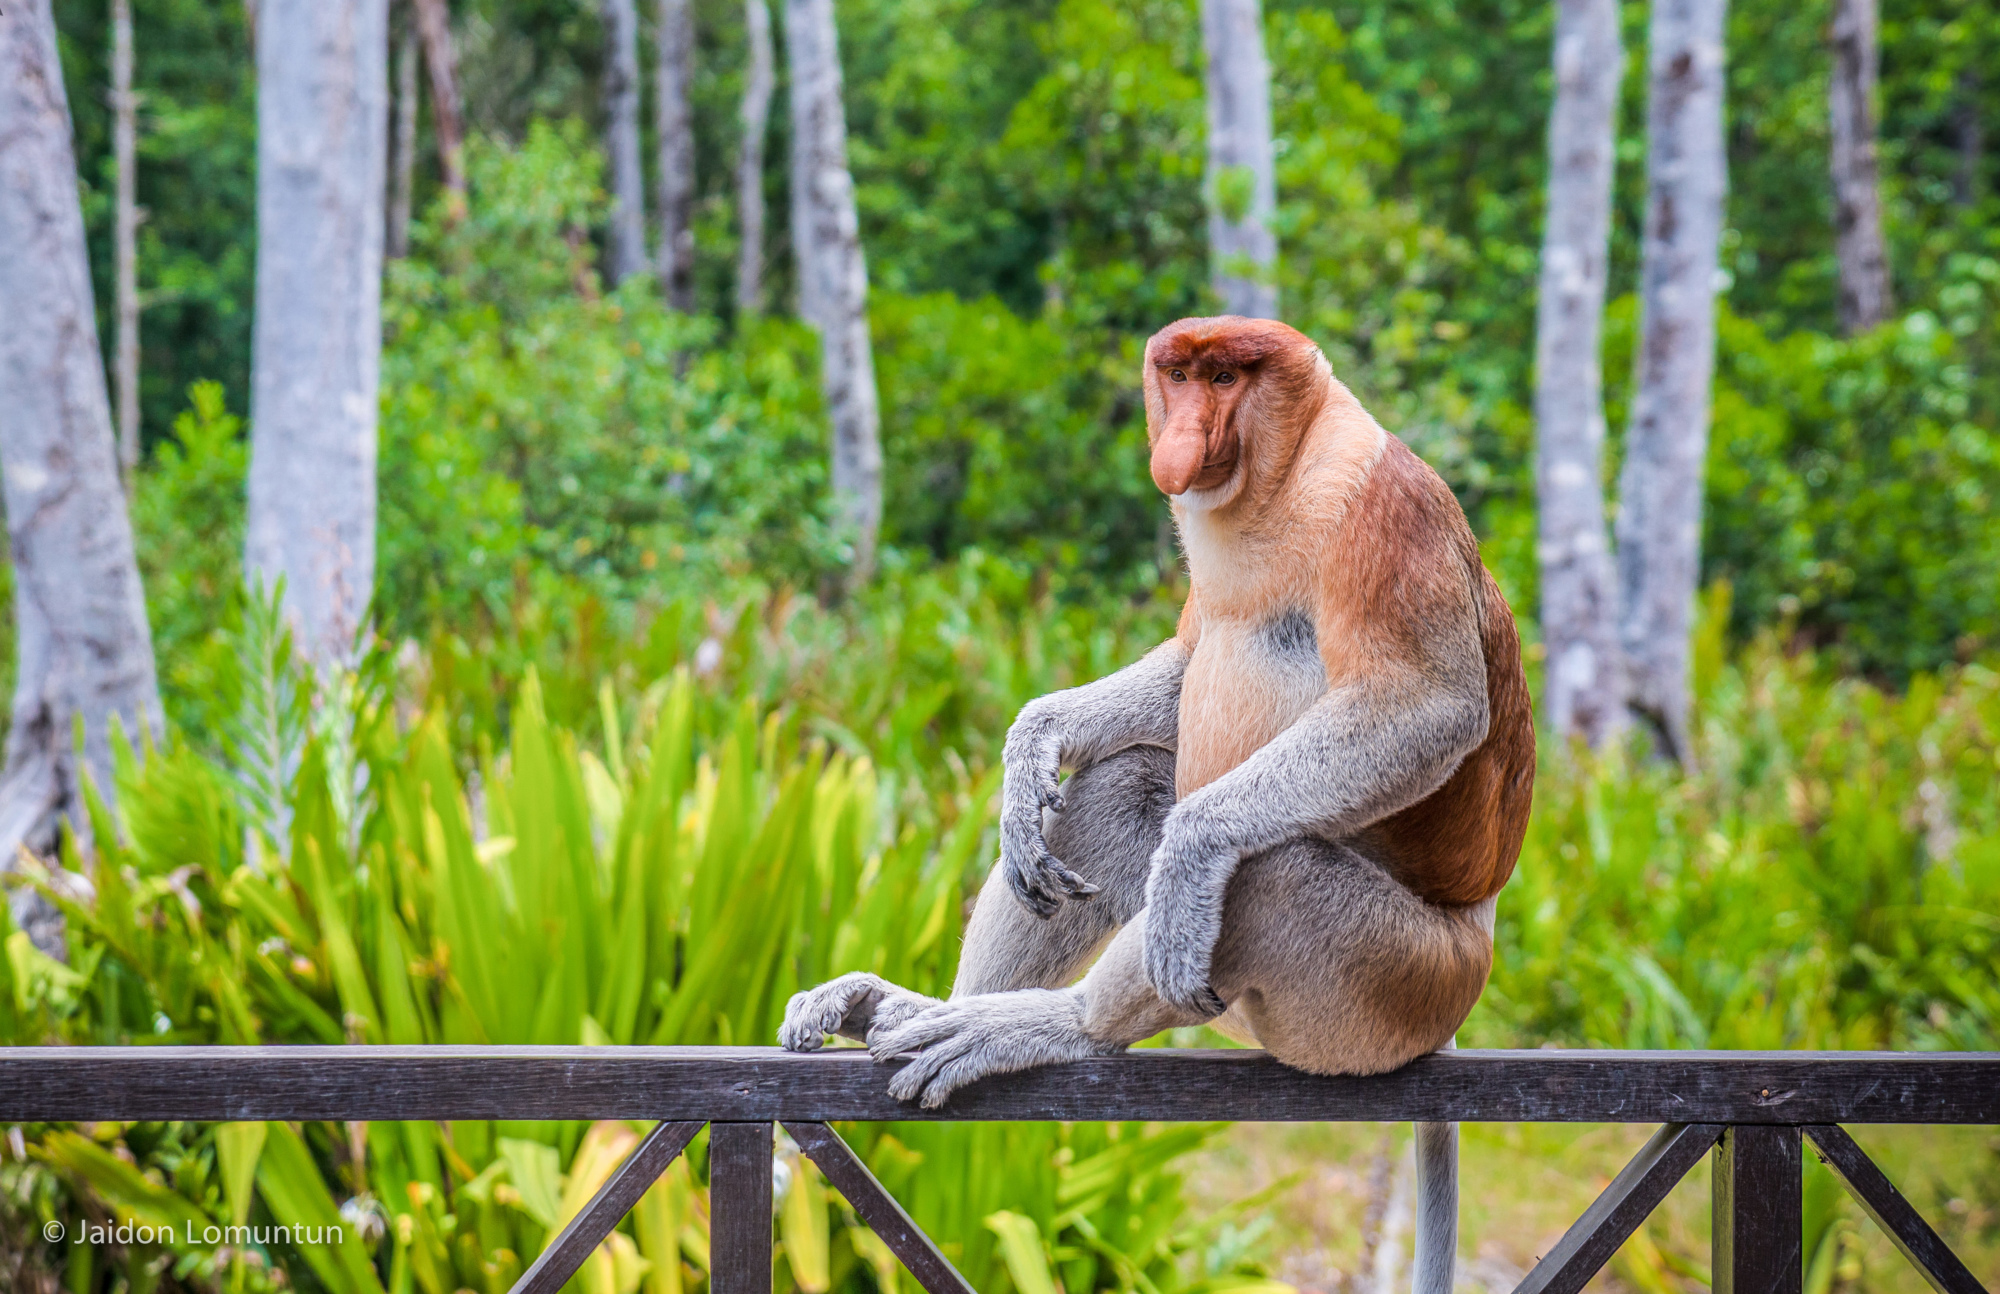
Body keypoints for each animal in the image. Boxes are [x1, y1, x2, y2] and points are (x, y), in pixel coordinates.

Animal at [780, 314, 1528, 1112]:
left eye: (1225, 380)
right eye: (1178, 377)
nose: (1183, 438)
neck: (1278, 483)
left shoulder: (1387, 507)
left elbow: (1427, 705)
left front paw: (1189, 857)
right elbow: (1185, 664)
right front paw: (1031, 753)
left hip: (1397, 983)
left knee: (1270, 874)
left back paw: (1057, 1023)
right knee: (1124, 779)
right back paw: (906, 1006)